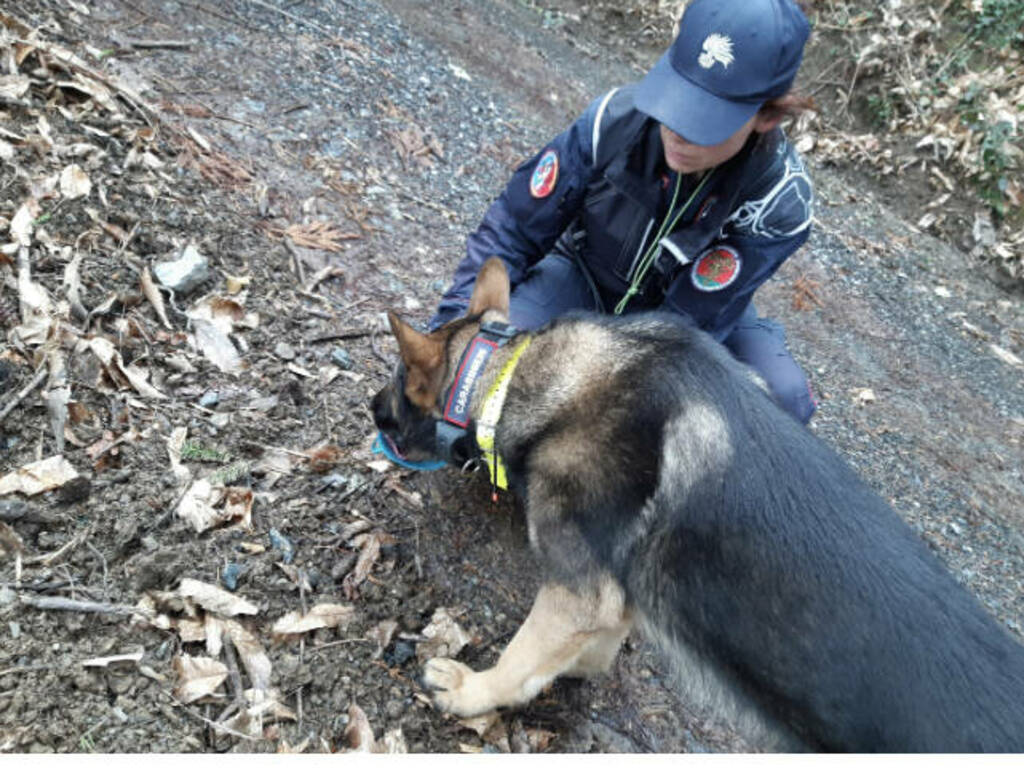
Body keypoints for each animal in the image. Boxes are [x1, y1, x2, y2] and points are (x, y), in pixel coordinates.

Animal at [372, 259, 1024, 753]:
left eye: (400, 382)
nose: (373, 411)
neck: (513, 375)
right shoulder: (617, 593)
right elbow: (596, 645)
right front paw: (579, 666)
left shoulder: (578, 590)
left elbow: (521, 661)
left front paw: (473, 692)